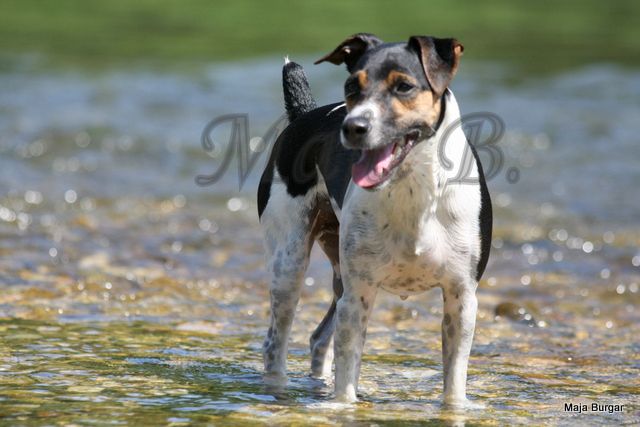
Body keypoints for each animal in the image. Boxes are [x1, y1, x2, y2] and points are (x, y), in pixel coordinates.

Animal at [258, 32, 492, 404]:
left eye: (404, 86)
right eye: (351, 85)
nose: (353, 127)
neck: (413, 190)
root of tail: (302, 115)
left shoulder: (462, 296)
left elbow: (455, 378)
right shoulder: (359, 294)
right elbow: (347, 372)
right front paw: (344, 406)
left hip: (340, 278)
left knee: (318, 338)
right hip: (290, 266)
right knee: (275, 341)